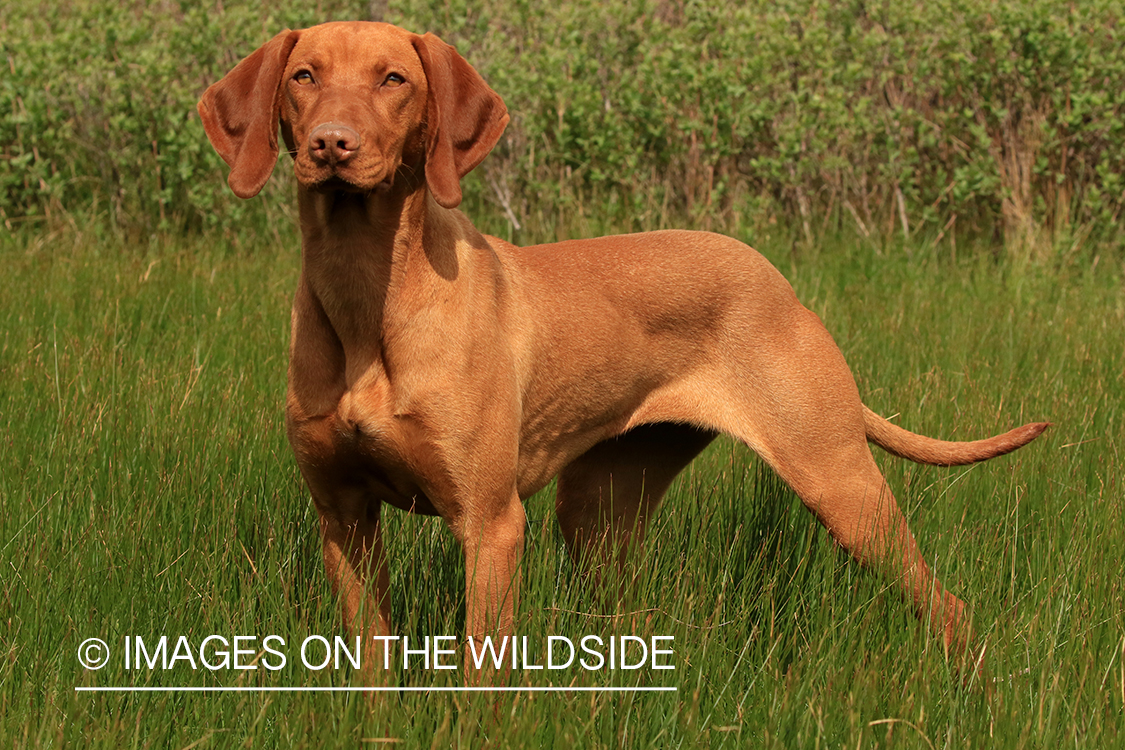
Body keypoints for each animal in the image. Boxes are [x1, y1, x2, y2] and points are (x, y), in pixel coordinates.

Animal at [200, 20, 1044, 679]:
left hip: (838, 481)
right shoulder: (342, 517)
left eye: (393, 80)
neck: (367, 296)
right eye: (304, 75)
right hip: (600, 511)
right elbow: (369, 660)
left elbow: (482, 671)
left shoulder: (490, 522)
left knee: (948, 606)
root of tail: (780, 282)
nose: (330, 146)